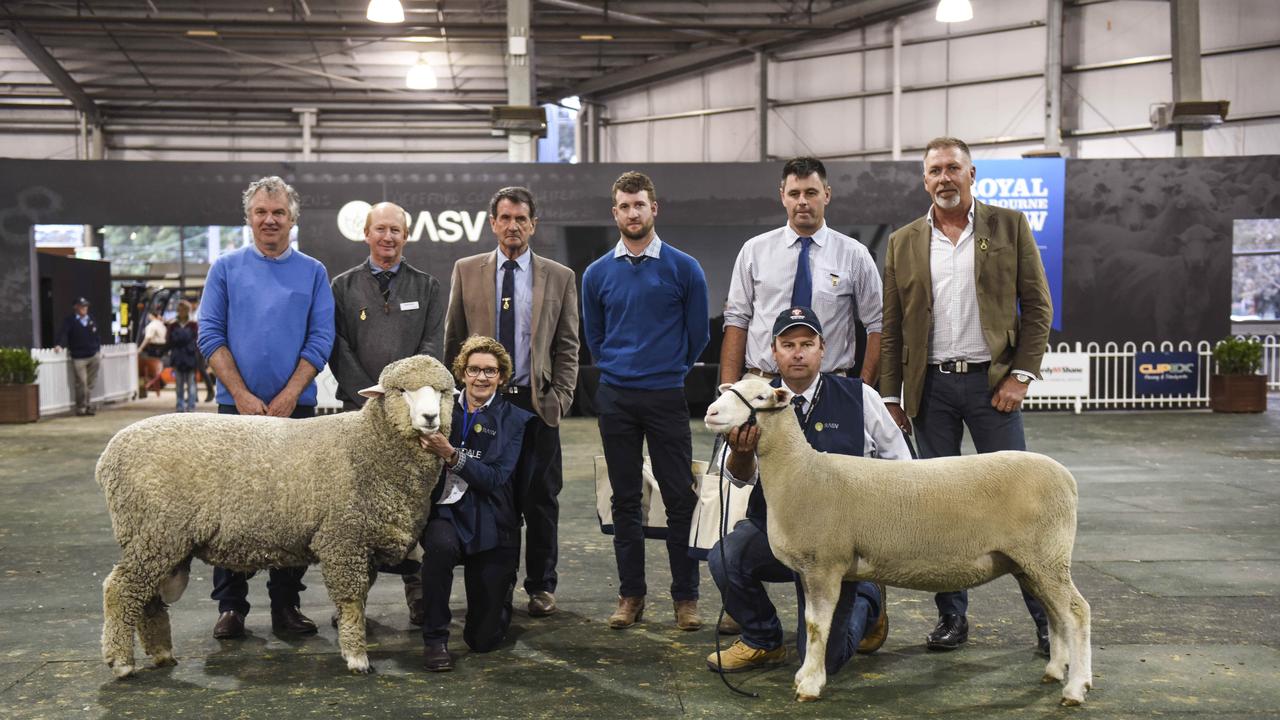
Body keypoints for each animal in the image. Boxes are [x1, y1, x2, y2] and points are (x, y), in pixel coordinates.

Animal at [97, 353, 455, 676]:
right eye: (402, 391)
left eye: (442, 392)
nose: (429, 417)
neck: (367, 444)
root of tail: (108, 456)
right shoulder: (342, 540)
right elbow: (353, 602)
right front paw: (357, 658)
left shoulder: (361, 545)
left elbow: (359, 600)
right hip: (155, 533)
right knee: (121, 590)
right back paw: (122, 662)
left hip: (162, 542)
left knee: (147, 598)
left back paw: (161, 654)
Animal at [706, 379, 1095, 702]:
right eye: (730, 388)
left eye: (760, 397)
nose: (711, 412)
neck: (801, 472)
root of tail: (1067, 477)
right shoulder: (807, 569)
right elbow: (813, 622)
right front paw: (804, 675)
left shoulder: (824, 564)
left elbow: (817, 627)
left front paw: (811, 685)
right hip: (1029, 564)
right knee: (1055, 613)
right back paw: (1054, 671)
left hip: (1046, 556)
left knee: (1076, 612)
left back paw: (1076, 687)